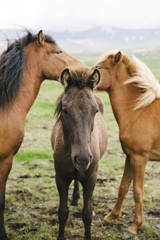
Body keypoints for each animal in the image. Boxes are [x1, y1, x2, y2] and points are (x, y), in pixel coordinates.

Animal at [51, 66, 107, 239]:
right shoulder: (61, 177)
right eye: (64, 110)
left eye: (95, 110)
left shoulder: (90, 177)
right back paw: (75, 198)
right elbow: (62, 212)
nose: (82, 159)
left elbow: (87, 214)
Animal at [94, 50, 160, 234]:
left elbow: (137, 192)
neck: (138, 110)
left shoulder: (140, 158)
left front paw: (135, 226)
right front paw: (111, 217)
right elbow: (123, 187)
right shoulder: (130, 157)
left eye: (99, 67)